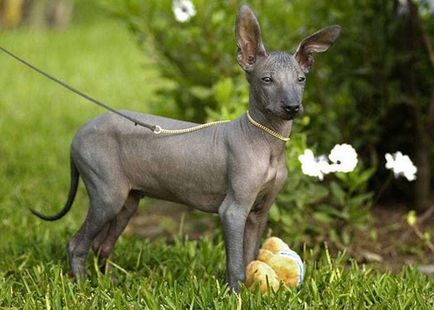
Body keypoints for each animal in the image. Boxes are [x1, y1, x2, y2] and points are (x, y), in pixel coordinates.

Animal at [32, 3, 340, 292]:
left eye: (301, 79)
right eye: (267, 79)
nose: (292, 107)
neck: (266, 140)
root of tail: (80, 131)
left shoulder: (258, 213)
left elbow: (250, 255)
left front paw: (254, 288)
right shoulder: (233, 210)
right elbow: (235, 263)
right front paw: (235, 294)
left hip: (127, 202)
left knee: (101, 246)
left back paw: (107, 284)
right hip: (108, 196)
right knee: (77, 244)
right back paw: (82, 286)